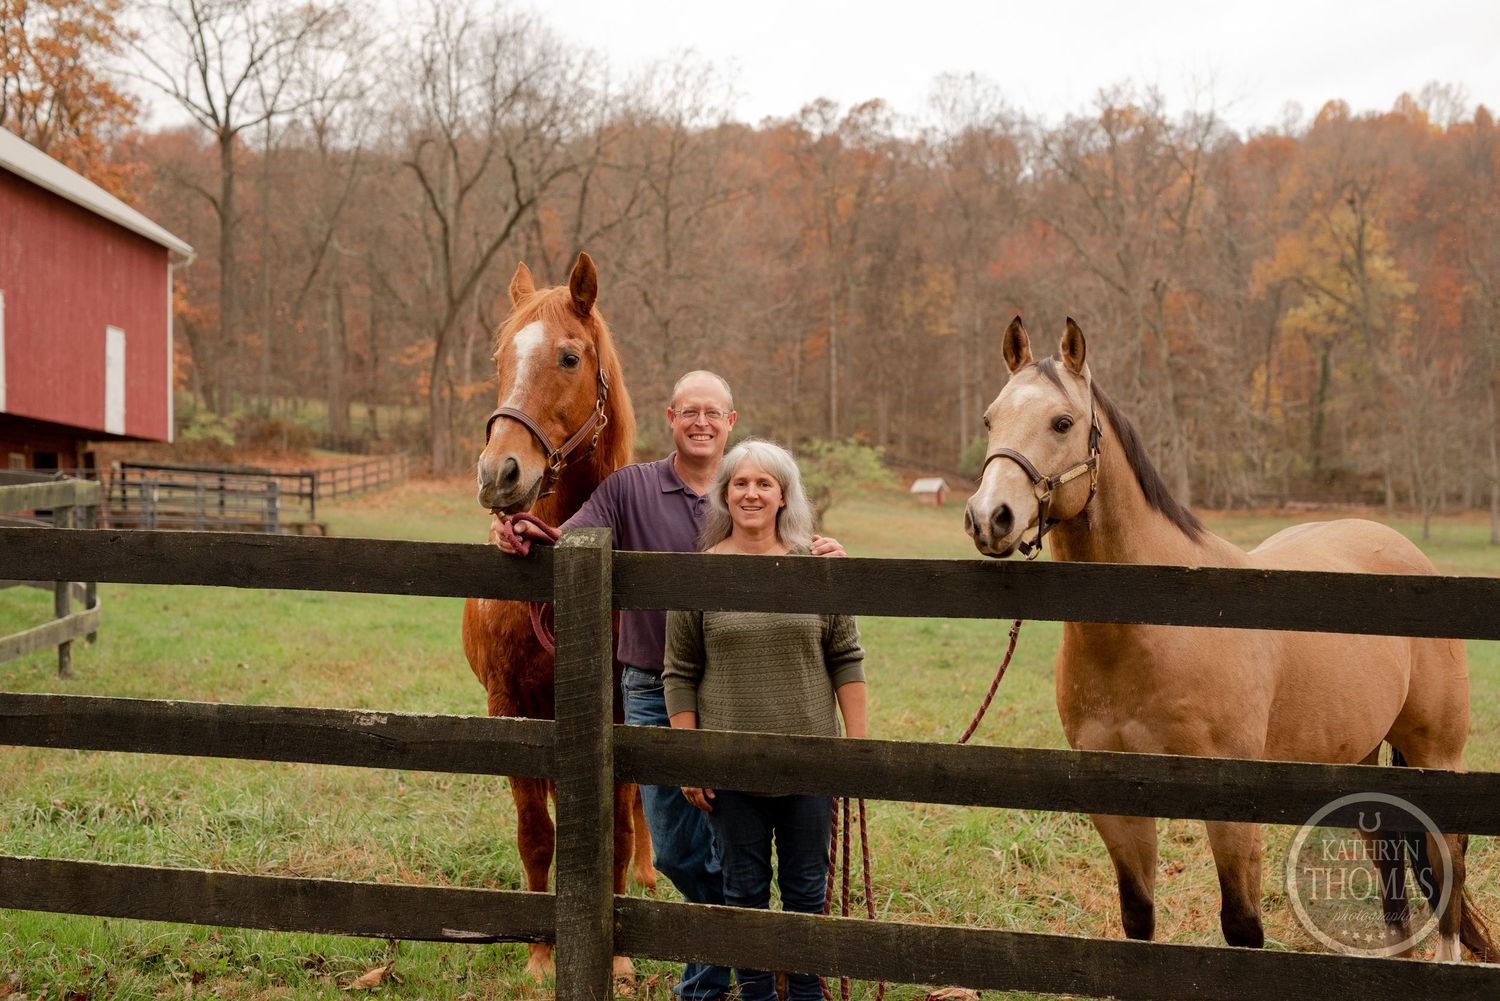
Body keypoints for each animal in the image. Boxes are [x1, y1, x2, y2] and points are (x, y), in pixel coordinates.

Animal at [462, 252, 655, 982]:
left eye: (569, 357)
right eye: (499, 357)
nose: (498, 474)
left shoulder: (621, 709)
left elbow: (618, 829)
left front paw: (620, 957)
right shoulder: (508, 703)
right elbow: (535, 833)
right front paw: (542, 954)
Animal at [963, 316, 1495, 963]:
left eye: (1062, 423)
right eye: (990, 419)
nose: (989, 517)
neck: (1149, 634)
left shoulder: (1233, 810)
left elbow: (1242, 927)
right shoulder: (1116, 807)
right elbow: (1138, 918)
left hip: (1436, 754)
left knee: (1449, 864)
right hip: (1363, 752)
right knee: (1388, 849)